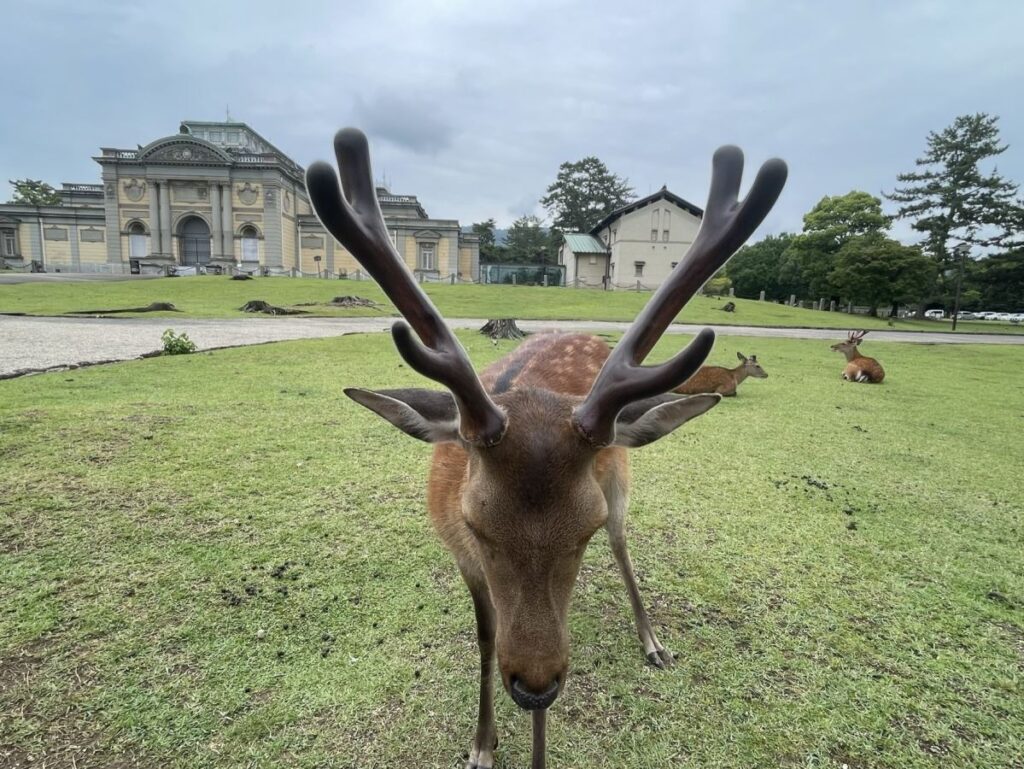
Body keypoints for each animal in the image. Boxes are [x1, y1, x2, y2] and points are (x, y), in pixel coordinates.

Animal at [306, 128, 786, 769]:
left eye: (583, 529)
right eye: (474, 524)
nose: (535, 685)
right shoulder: (462, 556)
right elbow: (488, 637)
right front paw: (482, 744)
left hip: (621, 474)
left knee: (624, 545)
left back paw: (653, 643)